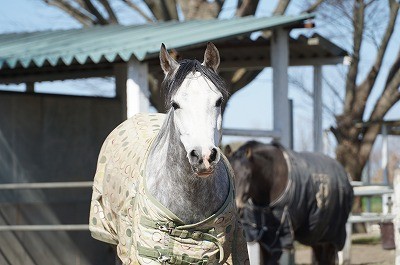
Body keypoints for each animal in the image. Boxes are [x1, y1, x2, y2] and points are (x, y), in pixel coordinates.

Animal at [225, 140, 354, 264]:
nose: (236, 208)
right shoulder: (264, 238)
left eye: (248, 175)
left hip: (330, 236)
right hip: (317, 235)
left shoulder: (278, 240)